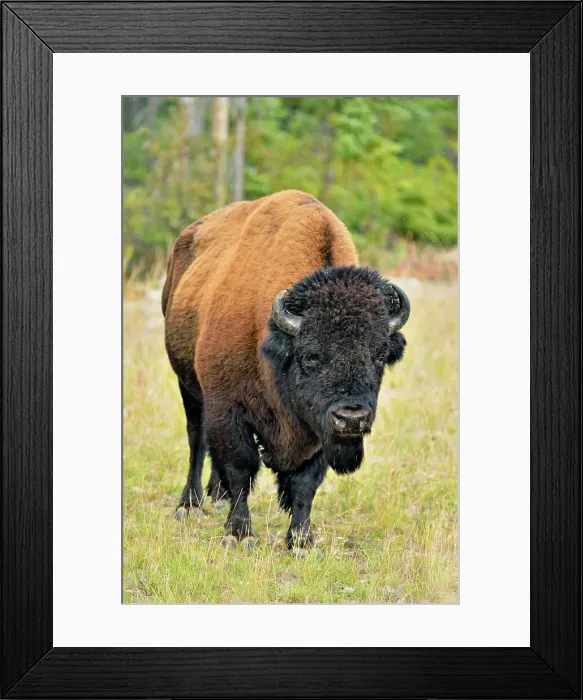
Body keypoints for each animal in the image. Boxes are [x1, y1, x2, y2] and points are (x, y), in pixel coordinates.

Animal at [162, 190, 410, 549]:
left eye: (379, 355)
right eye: (310, 356)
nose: (351, 419)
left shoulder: (317, 430)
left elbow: (305, 483)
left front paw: (302, 542)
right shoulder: (228, 408)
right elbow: (240, 466)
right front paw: (239, 534)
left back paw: (217, 496)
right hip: (188, 386)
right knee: (197, 438)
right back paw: (190, 504)